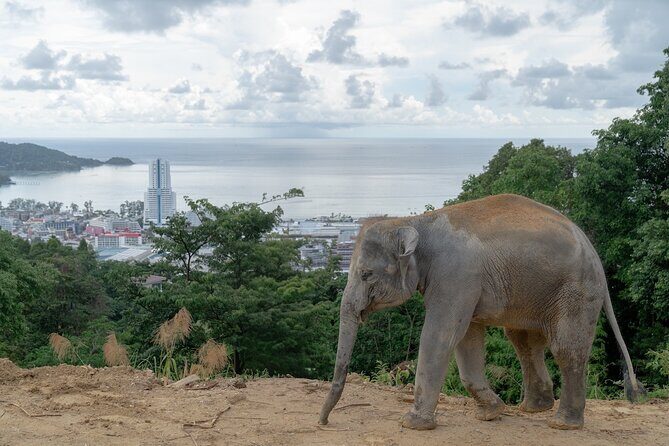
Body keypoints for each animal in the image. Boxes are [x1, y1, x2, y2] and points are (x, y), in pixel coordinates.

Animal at [319, 194, 643, 430]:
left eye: (366, 274)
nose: (324, 422)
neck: (416, 222)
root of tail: (594, 253)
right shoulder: (463, 284)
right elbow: (467, 338)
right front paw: (490, 413)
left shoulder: (456, 275)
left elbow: (441, 334)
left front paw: (412, 424)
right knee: (523, 341)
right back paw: (532, 409)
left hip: (575, 291)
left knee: (566, 348)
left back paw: (563, 424)